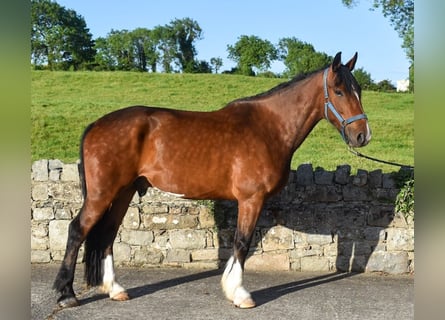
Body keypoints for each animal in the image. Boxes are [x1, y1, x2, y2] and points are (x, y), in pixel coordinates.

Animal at [53, 51, 370, 308]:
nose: (362, 136)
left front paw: (231, 287)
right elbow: (242, 242)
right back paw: (66, 294)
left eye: (359, 90)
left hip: (123, 192)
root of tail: (96, 125)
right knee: (77, 230)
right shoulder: (251, 199)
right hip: (102, 194)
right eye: (339, 91)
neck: (268, 127)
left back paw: (115, 289)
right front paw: (240, 294)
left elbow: (239, 243)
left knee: (107, 234)